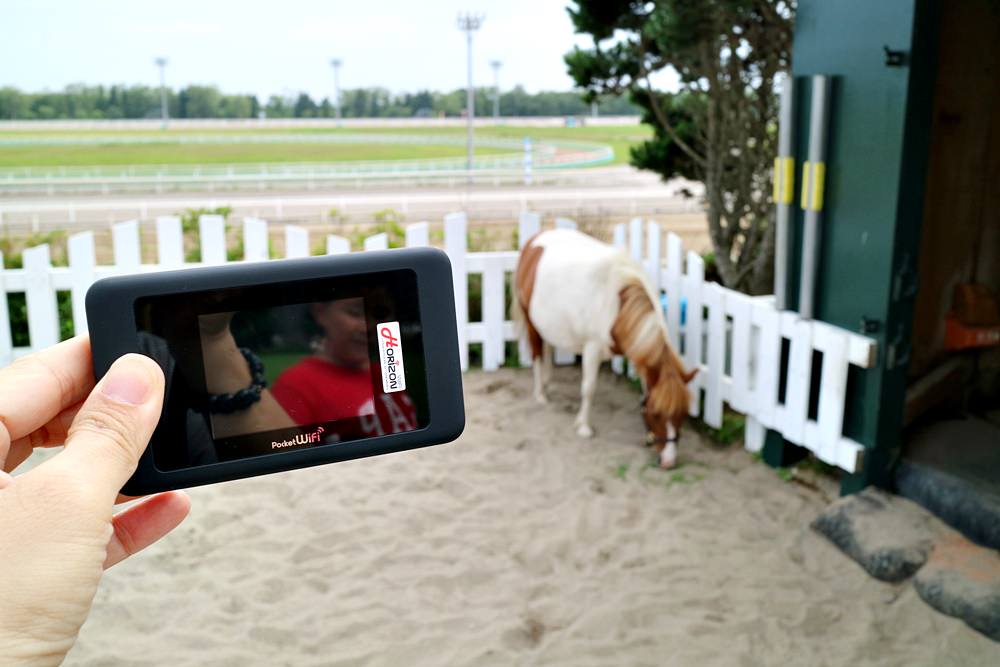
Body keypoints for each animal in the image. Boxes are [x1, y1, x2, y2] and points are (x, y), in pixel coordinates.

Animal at [516, 230, 696, 470]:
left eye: (682, 414)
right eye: (656, 414)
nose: (668, 461)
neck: (617, 304)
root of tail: (534, 239)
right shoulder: (592, 349)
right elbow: (589, 388)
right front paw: (583, 426)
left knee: (547, 349)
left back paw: (547, 382)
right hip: (530, 321)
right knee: (537, 353)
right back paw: (540, 393)